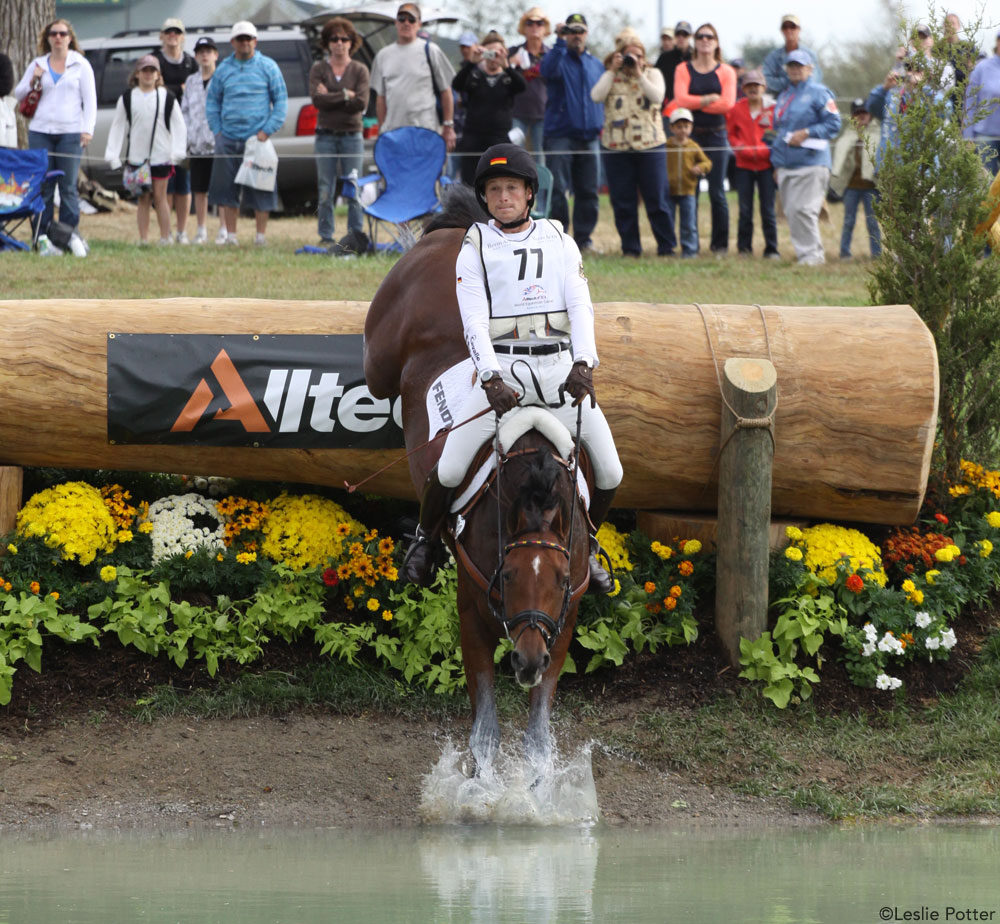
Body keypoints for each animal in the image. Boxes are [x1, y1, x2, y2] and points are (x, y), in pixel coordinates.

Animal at [364, 188, 588, 772]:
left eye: (560, 579)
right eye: (507, 577)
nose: (526, 661)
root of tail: (461, 229)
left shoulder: (563, 620)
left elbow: (538, 733)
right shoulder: (472, 610)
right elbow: (485, 728)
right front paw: (480, 784)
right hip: (382, 354)